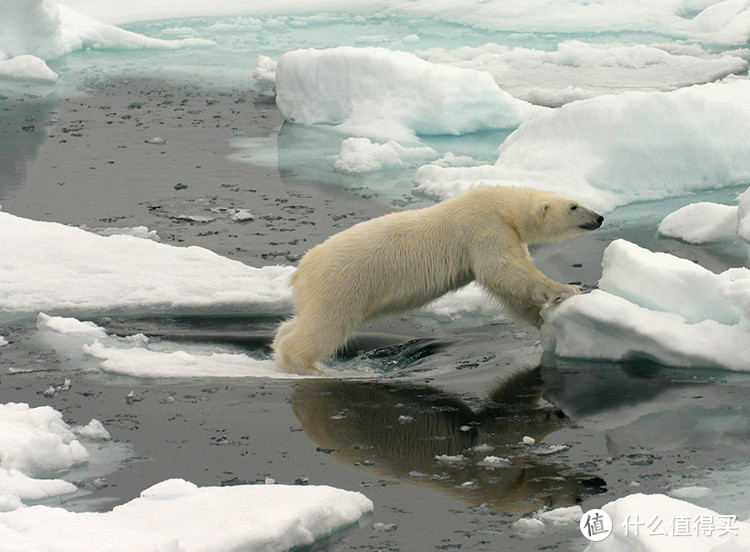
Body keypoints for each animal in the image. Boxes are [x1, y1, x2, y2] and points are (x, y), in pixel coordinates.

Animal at [274, 187, 604, 376]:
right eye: (574, 206)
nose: (600, 217)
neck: (503, 204)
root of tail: (301, 271)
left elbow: (508, 287)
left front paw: (543, 320)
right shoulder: (485, 227)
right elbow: (502, 270)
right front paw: (567, 289)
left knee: (301, 321)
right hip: (341, 283)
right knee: (326, 325)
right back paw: (308, 367)